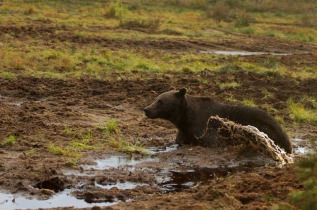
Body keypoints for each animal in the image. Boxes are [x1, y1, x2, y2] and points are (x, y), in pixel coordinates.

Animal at [143, 88, 292, 153]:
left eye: (161, 102)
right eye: (156, 99)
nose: (146, 109)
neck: (186, 119)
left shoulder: (206, 129)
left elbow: (211, 142)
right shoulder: (185, 131)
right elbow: (180, 141)